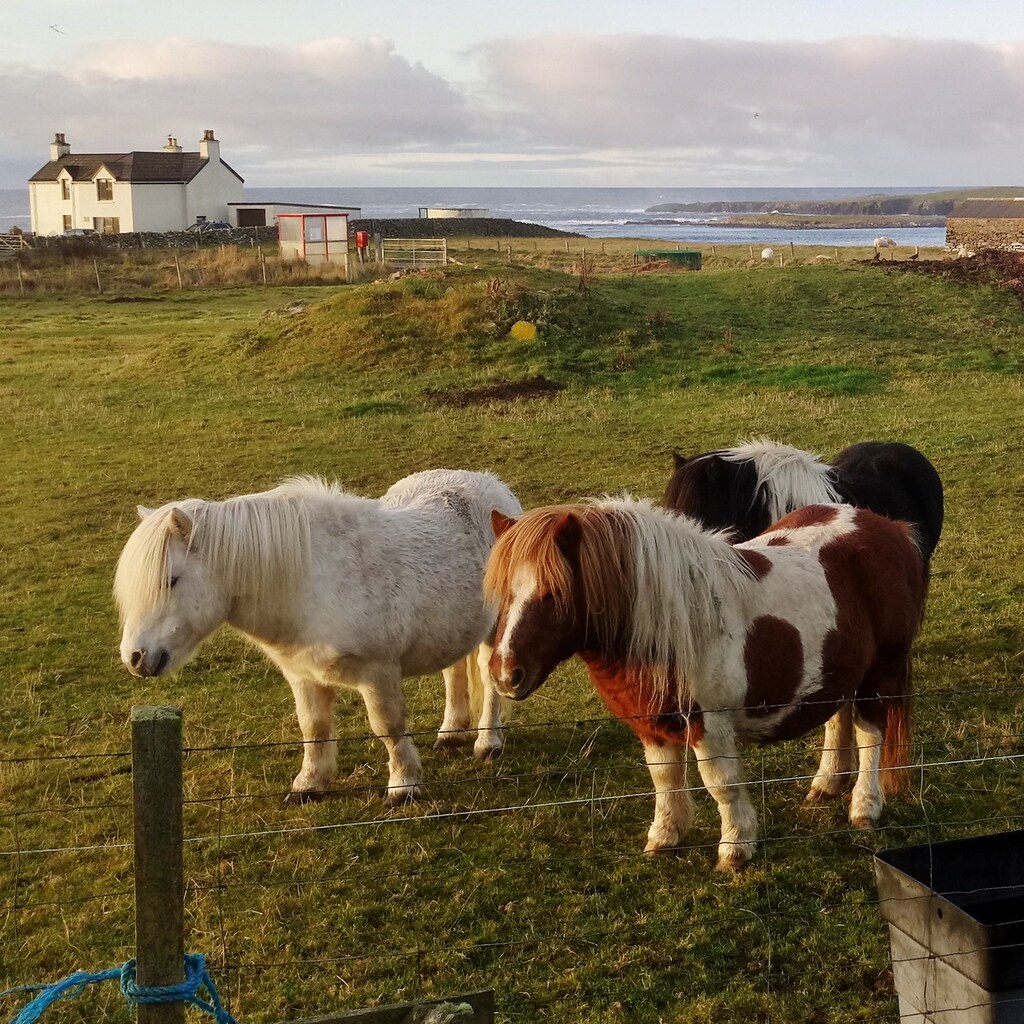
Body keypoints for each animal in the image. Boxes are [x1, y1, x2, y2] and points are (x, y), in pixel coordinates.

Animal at [114, 470, 522, 805]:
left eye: (170, 580)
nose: (135, 657)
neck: (314, 582)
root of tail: (493, 486)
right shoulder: (302, 675)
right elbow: (314, 727)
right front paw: (309, 784)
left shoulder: (378, 674)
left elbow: (388, 727)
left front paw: (403, 786)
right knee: (455, 672)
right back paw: (451, 732)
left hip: (494, 629)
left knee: (488, 679)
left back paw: (488, 743)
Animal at [484, 498, 925, 871]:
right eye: (502, 593)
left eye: (553, 593)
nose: (505, 674)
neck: (676, 621)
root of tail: (890, 527)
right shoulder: (651, 724)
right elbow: (664, 777)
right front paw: (664, 837)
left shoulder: (709, 725)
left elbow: (721, 785)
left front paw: (735, 849)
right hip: (840, 671)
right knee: (838, 718)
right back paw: (827, 784)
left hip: (880, 674)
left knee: (870, 736)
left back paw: (864, 808)